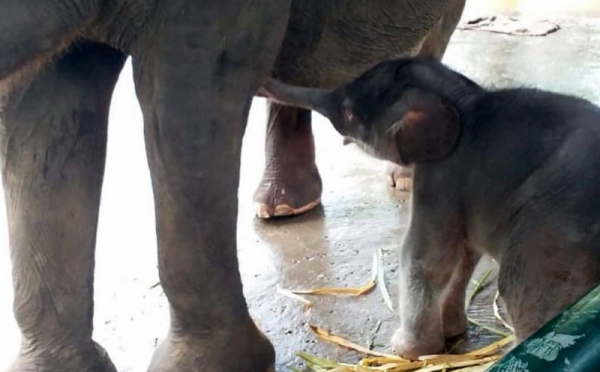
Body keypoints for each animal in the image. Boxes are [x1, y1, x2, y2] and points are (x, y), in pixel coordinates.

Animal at [260, 58, 600, 360]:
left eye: (350, 112)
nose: (265, 78)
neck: (463, 98)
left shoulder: (439, 178)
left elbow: (425, 258)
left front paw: (408, 350)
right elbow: (465, 254)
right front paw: (451, 331)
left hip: (548, 245)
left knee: (522, 293)